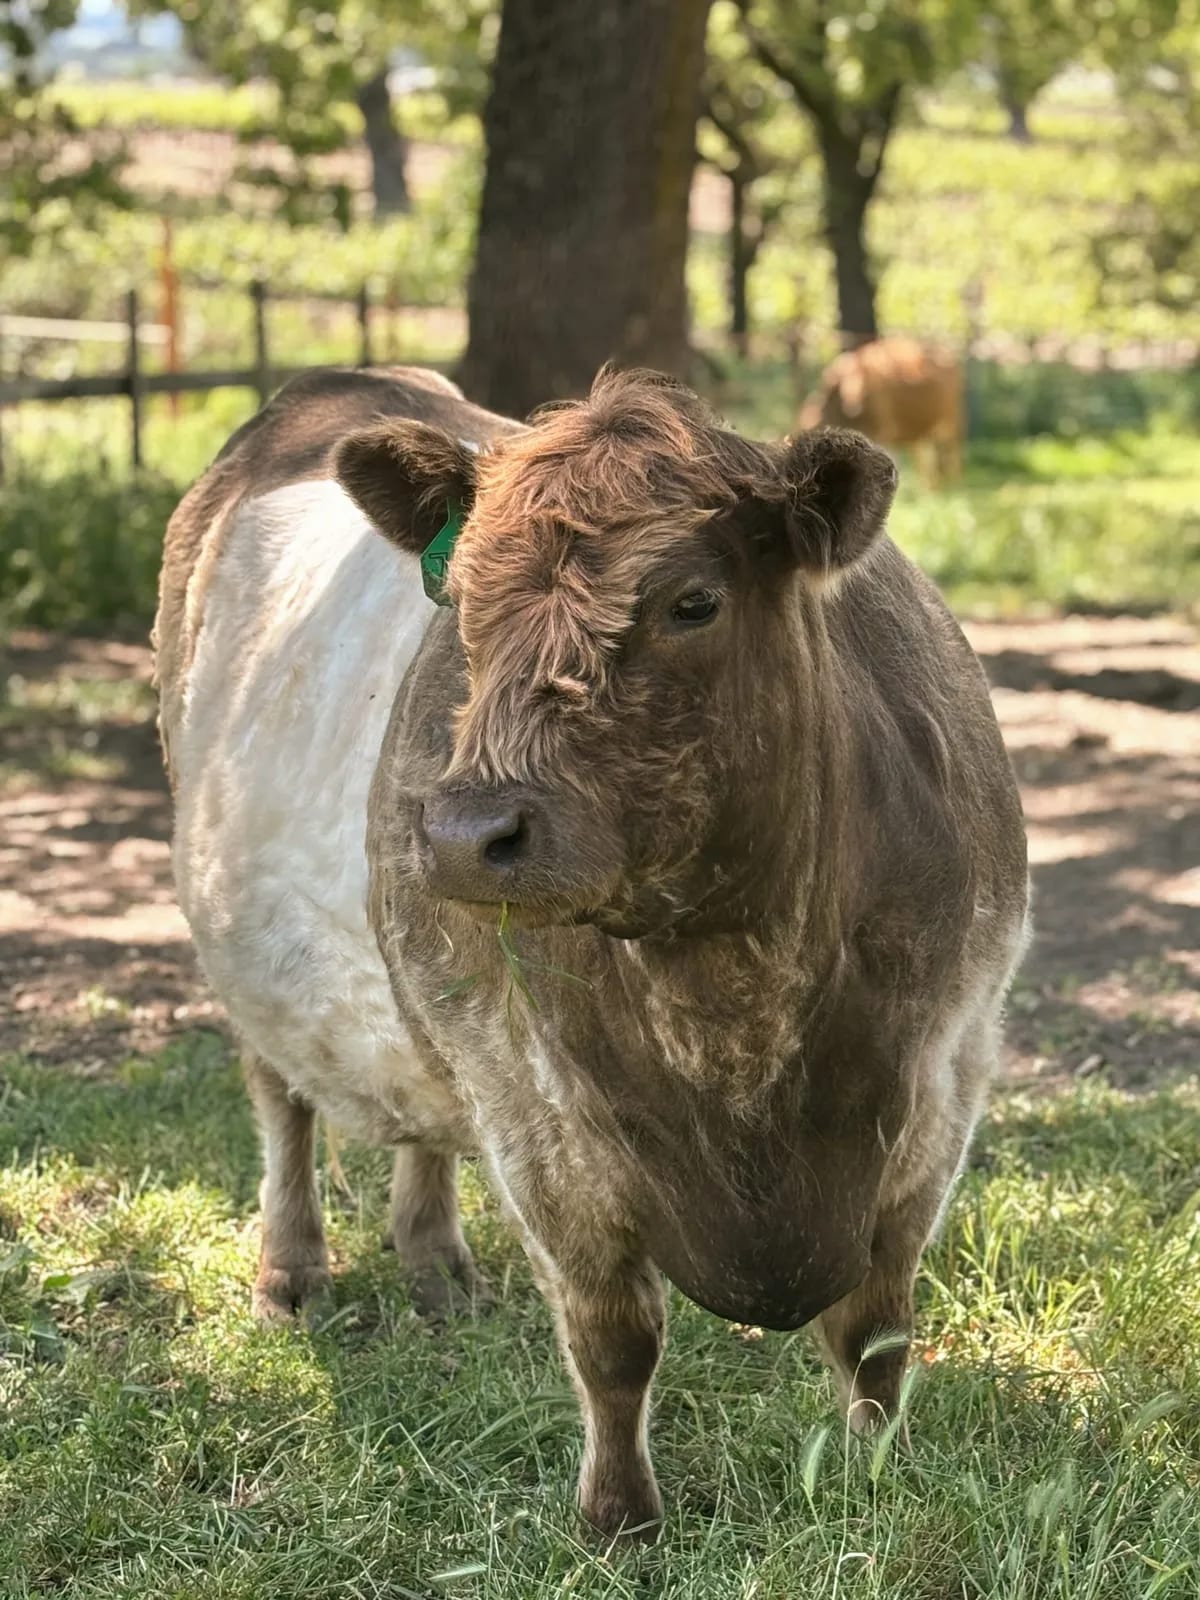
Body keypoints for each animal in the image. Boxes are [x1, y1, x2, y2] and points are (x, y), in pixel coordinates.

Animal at [155, 363, 1027, 1538]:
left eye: (693, 602)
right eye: (459, 605)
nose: (463, 833)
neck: (738, 999)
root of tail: (336, 385)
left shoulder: (944, 1070)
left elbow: (876, 1326)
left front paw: (874, 1475)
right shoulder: (530, 1102)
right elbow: (614, 1337)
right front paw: (619, 1518)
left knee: (415, 1123)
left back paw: (437, 1267)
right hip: (247, 960)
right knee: (281, 1099)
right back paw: (291, 1273)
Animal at [799, 336, 966, 487]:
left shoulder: (879, 434)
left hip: (951, 421)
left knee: (953, 454)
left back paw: (954, 485)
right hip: (922, 432)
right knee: (926, 460)